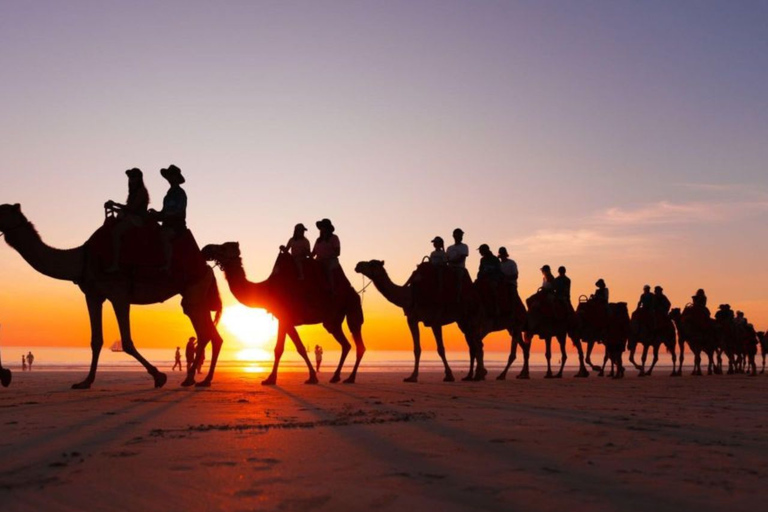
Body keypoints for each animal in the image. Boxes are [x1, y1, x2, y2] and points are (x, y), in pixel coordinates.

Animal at [0, 204, 222, 388]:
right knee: (210, 335)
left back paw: (193, 379)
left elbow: (127, 341)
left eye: (2, 209)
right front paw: (85, 381)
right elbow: (96, 340)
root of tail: (206, 268)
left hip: (194, 290)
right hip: (197, 296)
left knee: (204, 333)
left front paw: (159, 377)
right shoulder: (93, 295)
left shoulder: (119, 293)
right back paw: (199, 379)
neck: (83, 257)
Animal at [206, 243, 364, 384]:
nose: (207, 248)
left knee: (359, 344)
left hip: (352, 308)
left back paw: (350, 378)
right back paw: (336, 377)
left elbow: (291, 348)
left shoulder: (285, 317)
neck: (267, 289)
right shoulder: (282, 318)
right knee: (346, 344)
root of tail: (353, 291)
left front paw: (308, 377)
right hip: (332, 321)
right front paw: (273, 379)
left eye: (223, 247)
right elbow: (286, 348)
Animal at [356, 262, 486, 382]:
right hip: (462, 321)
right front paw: (412, 376)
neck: (411, 296)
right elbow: (416, 349)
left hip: (472, 316)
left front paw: (449, 375)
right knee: (475, 345)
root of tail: (476, 296)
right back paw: (472, 375)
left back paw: (479, 375)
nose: (358, 265)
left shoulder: (435, 320)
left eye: (372, 264)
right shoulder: (412, 319)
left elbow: (441, 349)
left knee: (477, 344)